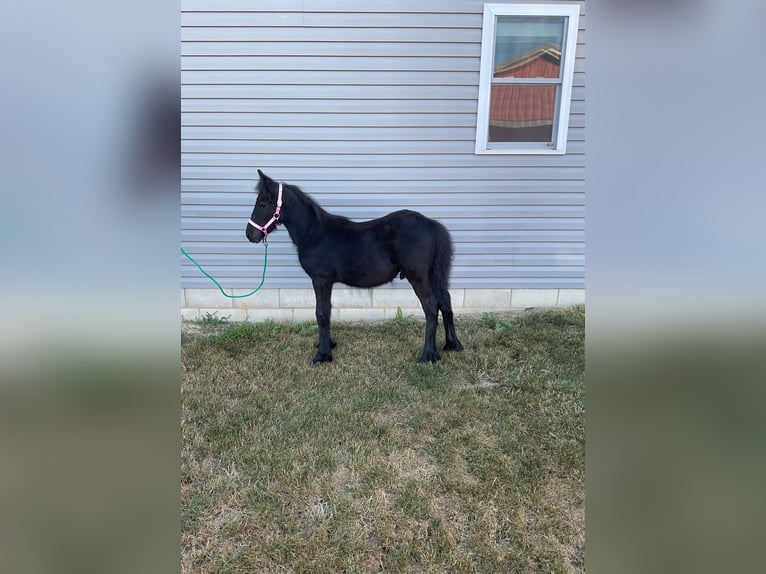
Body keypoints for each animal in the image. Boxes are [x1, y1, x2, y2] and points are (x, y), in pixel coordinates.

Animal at [245, 170, 463, 364]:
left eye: (263, 203)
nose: (249, 234)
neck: (315, 233)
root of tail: (431, 224)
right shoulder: (326, 282)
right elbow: (327, 311)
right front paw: (328, 345)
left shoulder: (321, 280)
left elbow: (321, 313)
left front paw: (322, 355)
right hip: (434, 275)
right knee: (445, 302)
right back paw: (452, 344)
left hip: (418, 277)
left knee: (431, 307)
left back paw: (428, 355)